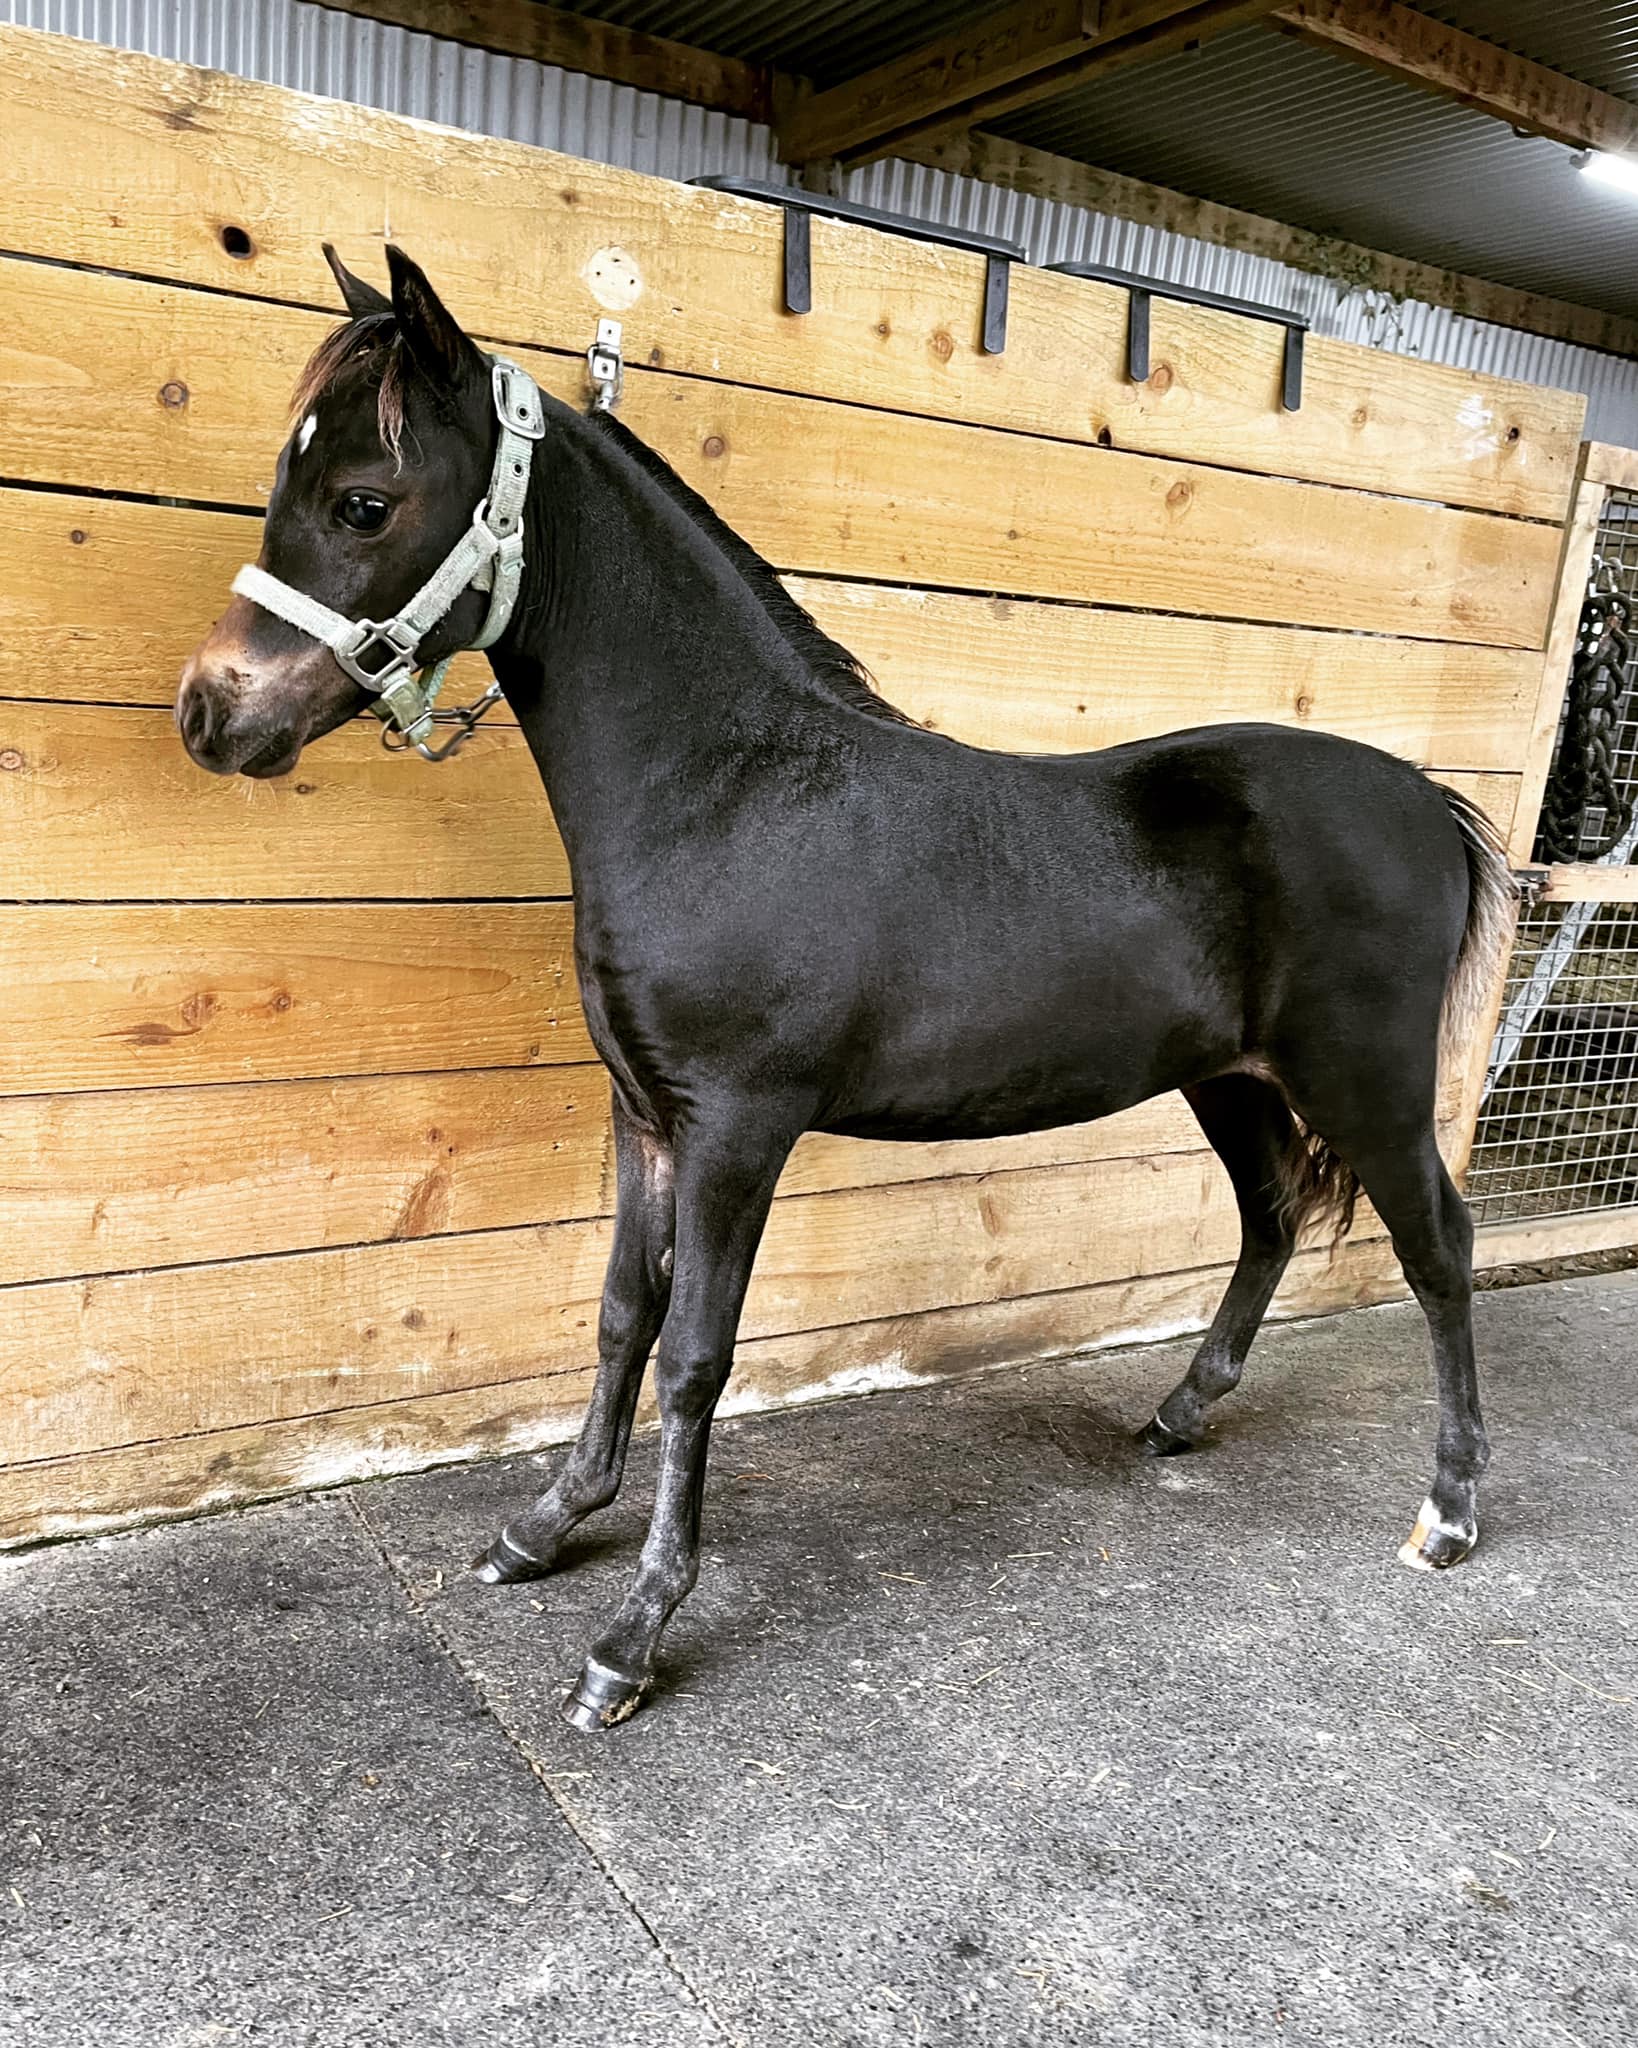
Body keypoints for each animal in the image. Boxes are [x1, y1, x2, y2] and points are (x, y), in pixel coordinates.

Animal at [177, 245, 1511, 1732]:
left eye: (364, 499)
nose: (212, 714)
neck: (726, 791)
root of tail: (1428, 805)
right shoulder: (647, 1119)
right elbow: (620, 1318)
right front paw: (546, 1527)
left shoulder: (736, 1131)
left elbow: (694, 1357)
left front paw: (631, 1636)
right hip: (1227, 1078)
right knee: (1271, 1219)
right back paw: (1177, 1416)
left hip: (1366, 1082)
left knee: (1438, 1249)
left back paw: (1448, 1511)